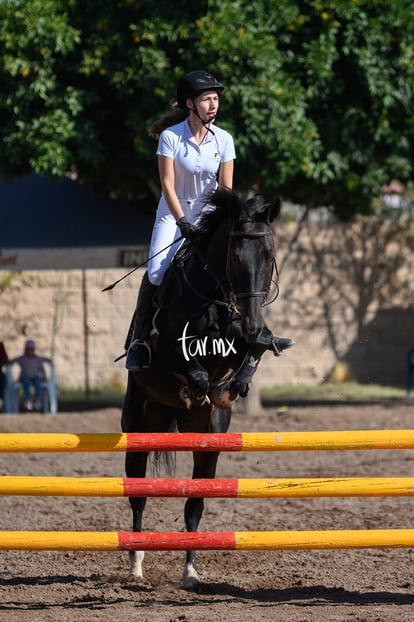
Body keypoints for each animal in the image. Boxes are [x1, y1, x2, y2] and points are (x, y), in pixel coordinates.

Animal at [121, 188, 280, 588]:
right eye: (235, 256)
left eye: (269, 256)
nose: (252, 321)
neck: (217, 298)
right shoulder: (170, 349)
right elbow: (195, 371)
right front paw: (201, 389)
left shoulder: (245, 339)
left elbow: (254, 350)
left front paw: (232, 387)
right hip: (139, 425)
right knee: (138, 496)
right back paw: (136, 564)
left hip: (206, 441)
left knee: (195, 502)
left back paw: (190, 571)